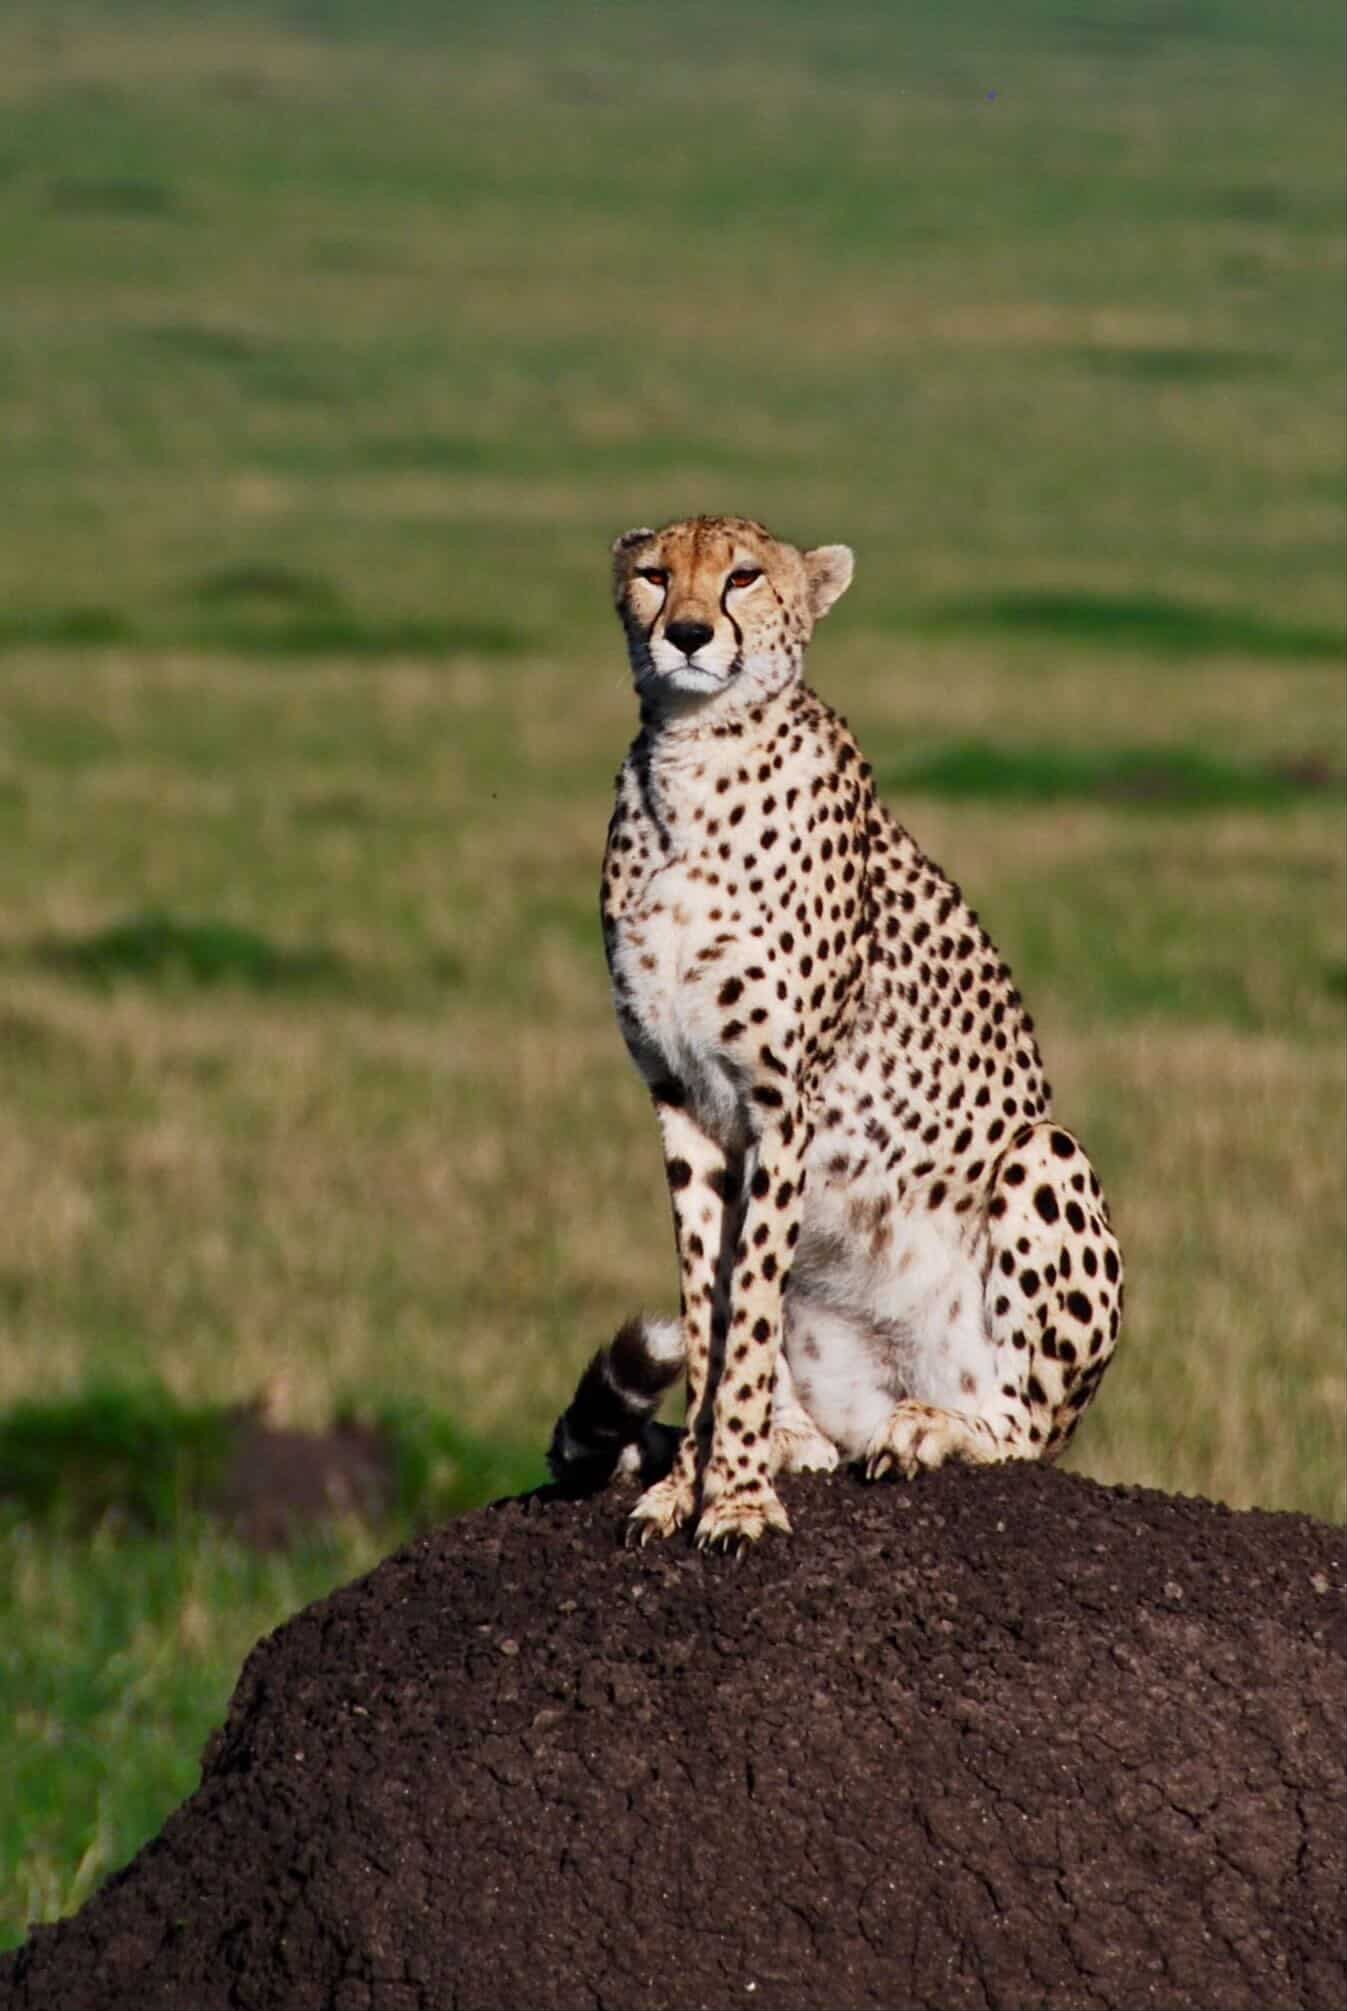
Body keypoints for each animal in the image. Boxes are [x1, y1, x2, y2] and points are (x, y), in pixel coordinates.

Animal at [548, 514, 1123, 1550]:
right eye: (654, 574)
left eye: (741, 577)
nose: (686, 634)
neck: (697, 758)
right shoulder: (680, 1102)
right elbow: (711, 1306)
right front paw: (687, 1483)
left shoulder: (783, 1103)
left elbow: (741, 1314)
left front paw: (733, 1497)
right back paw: (798, 1437)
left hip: (1041, 1156)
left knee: (1018, 1425)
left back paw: (935, 1428)